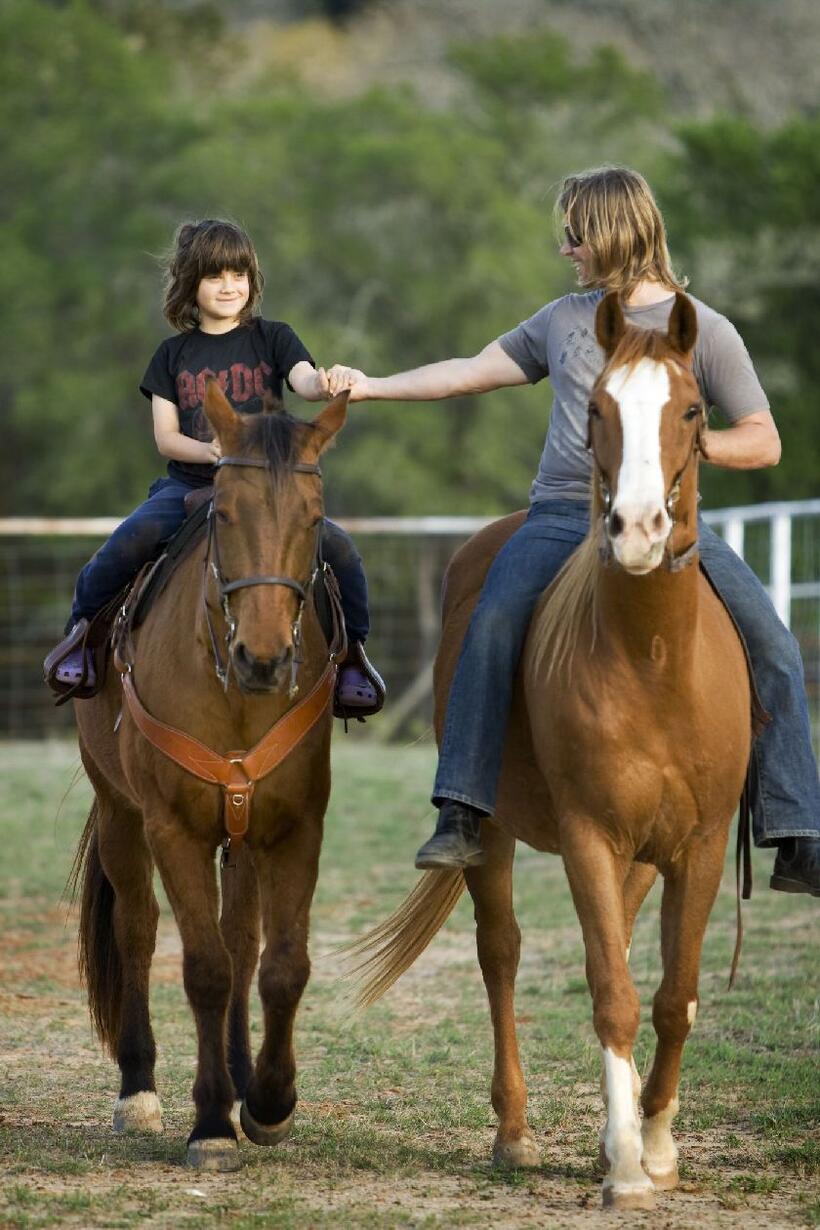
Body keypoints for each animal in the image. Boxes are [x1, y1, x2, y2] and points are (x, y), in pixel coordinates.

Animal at [70, 384, 349, 1171]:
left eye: (313, 519)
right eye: (223, 512)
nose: (263, 658)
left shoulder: (295, 828)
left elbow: (280, 964)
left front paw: (269, 1102)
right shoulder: (175, 830)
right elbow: (203, 968)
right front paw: (212, 1123)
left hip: (242, 834)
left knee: (242, 941)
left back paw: (240, 1075)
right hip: (120, 813)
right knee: (138, 929)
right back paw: (138, 1092)